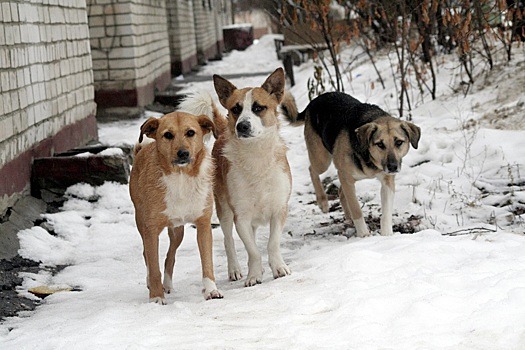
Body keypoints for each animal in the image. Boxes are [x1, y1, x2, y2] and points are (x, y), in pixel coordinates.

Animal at [129, 112, 223, 304]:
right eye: (168, 135)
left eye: (190, 132)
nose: (183, 153)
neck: (181, 178)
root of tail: (141, 151)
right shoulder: (150, 229)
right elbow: (153, 265)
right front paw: (156, 297)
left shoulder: (203, 223)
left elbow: (207, 262)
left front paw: (211, 290)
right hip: (141, 222)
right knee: (146, 255)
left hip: (177, 230)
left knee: (170, 256)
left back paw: (167, 285)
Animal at [182, 68, 292, 288]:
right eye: (236, 109)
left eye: (258, 107)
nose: (242, 126)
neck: (256, 156)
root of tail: (223, 131)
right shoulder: (241, 216)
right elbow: (253, 250)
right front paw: (254, 275)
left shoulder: (279, 209)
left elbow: (272, 243)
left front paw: (278, 267)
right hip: (223, 208)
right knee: (228, 239)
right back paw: (234, 269)